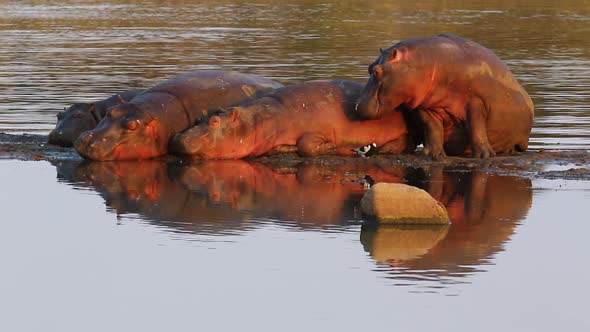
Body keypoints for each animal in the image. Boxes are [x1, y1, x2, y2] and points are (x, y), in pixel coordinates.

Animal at [356, 32, 536, 160]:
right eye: (369, 67)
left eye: (376, 71)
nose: (357, 106)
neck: (421, 63)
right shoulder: (423, 105)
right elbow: (432, 127)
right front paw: (431, 155)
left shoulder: (475, 101)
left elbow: (476, 126)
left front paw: (483, 156)